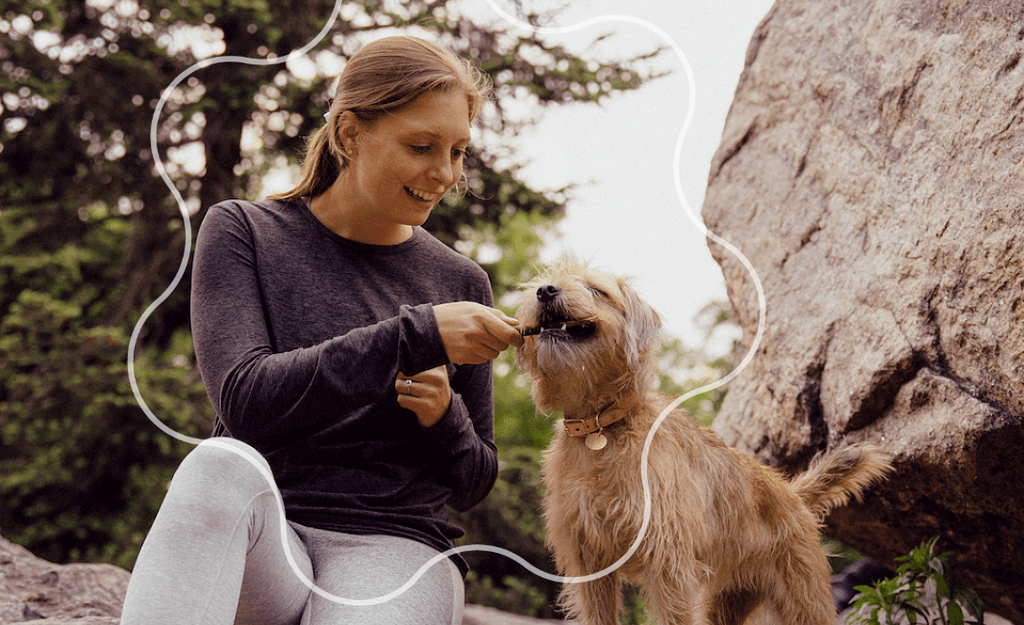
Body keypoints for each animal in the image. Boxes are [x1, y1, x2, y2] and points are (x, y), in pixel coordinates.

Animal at [516, 254, 892, 622]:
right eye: (544, 281)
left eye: (596, 290)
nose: (545, 291)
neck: (599, 429)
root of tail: (791, 493)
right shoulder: (588, 563)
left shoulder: (668, 562)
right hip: (726, 603)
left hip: (804, 600)